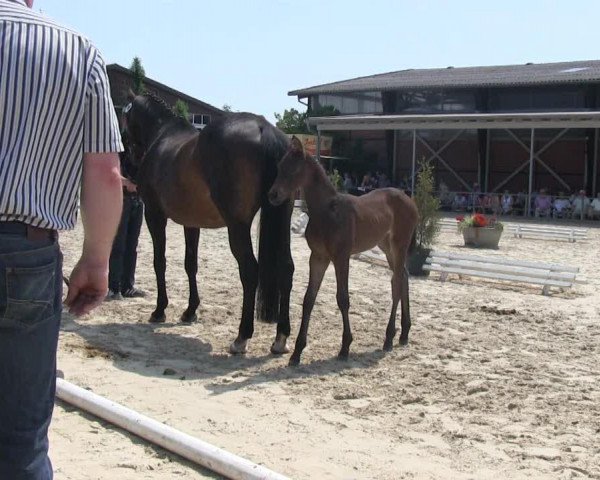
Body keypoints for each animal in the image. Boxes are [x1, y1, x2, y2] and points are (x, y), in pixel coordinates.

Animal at [270, 137, 420, 366]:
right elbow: (309, 299)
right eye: (279, 167)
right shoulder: (318, 257)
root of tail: (409, 200)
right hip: (386, 247)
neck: (327, 212)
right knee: (403, 276)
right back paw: (404, 333)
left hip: (399, 244)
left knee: (396, 283)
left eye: (294, 169)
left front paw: (345, 347)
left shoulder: (341, 257)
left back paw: (388, 338)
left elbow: (343, 299)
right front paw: (297, 352)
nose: (273, 195)